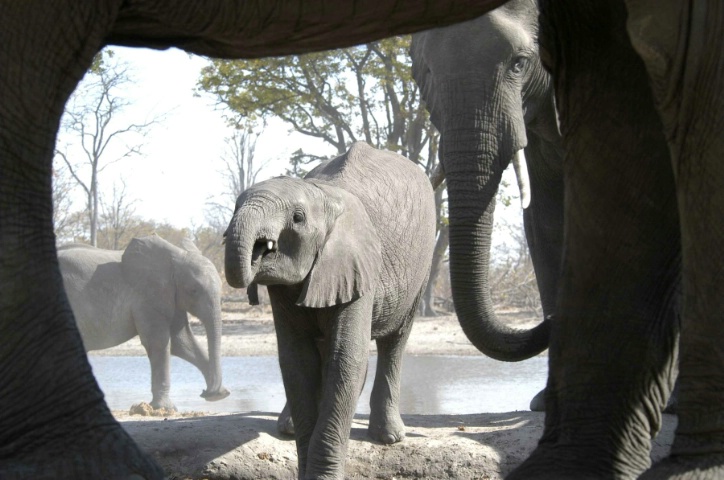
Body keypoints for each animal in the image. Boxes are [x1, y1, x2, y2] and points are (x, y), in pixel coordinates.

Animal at [58, 234, 229, 410]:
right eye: (194, 291)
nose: (205, 393)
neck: (175, 259)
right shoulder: (147, 297)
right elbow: (159, 342)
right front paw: (164, 408)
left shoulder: (170, 296)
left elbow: (181, 342)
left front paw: (221, 394)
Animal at [223, 142, 436, 480]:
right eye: (234, 208)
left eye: (297, 218)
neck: (323, 197)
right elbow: (297, 360)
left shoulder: (359, 266)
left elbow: (346, 358)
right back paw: (288, 428)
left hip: (422, 267)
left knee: (395, 339)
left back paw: (388, 437)